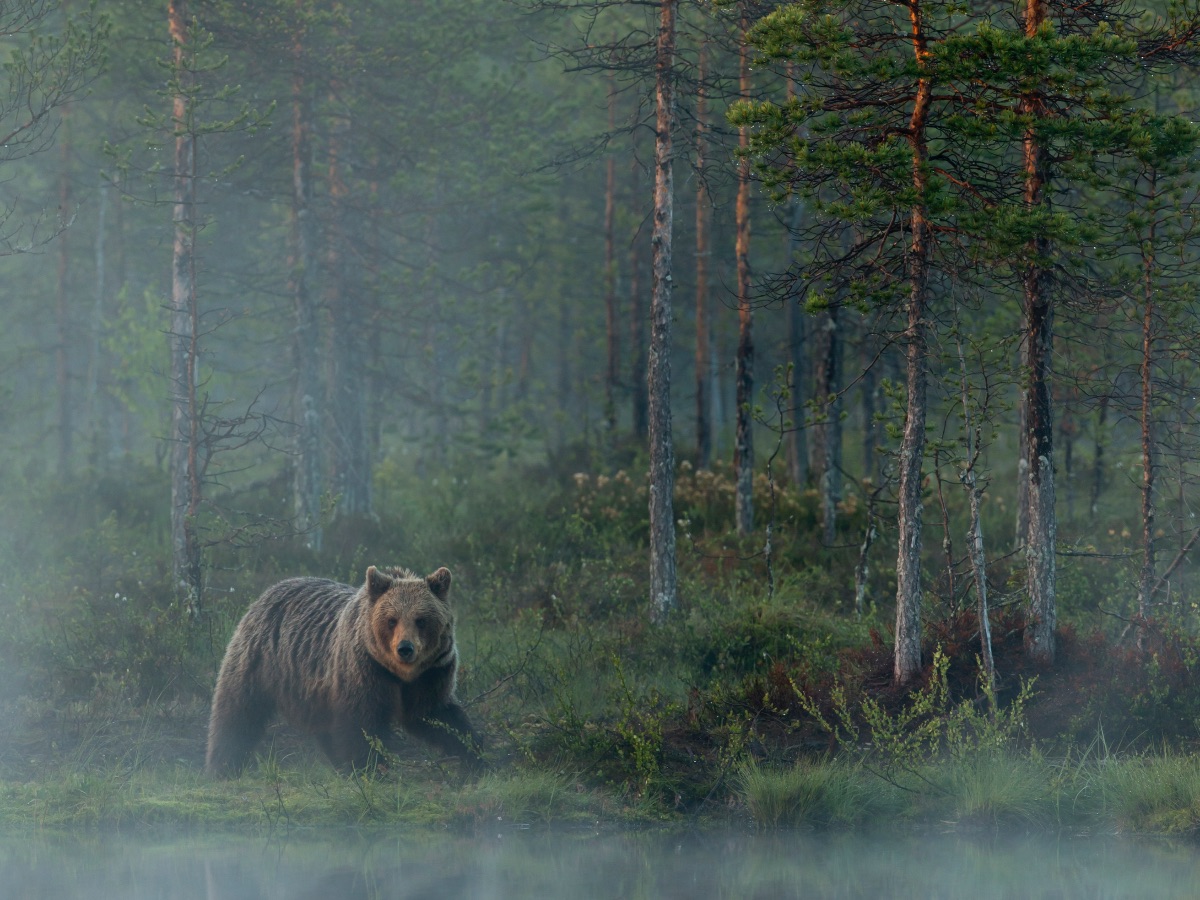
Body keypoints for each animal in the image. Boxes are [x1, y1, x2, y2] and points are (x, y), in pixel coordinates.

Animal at [204, 566, 480, 777]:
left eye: (421, 620)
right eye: (392, 619)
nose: (405, 648)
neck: (400, 675)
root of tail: (269, 591)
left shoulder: (432, 673)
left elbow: (435, 715)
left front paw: (474, 752)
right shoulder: (365, 669)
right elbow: (361, 722)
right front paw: (370, 767)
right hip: (259, 660)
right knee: (237, 710)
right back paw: (222, 764)